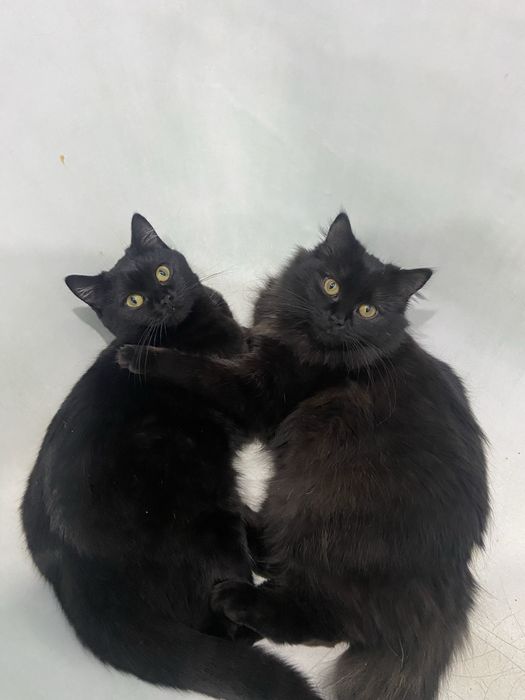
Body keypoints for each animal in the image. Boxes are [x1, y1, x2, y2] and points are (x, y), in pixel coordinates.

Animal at [21, 214, 322, 700]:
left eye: (163, 271)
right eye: (134, 300)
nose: (163, 297)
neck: (188, 327)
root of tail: (74, 567)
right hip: (210, 524)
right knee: (221, 623)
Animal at [118, 212, 489, 700]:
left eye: (369, 311)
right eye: (330, 285)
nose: (338, 317)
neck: (304, 338)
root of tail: (453, 579)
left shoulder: (258, 393)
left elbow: (198, 370)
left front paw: (139, 355)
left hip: (310, 506)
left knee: (325, 620)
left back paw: (236, 593)